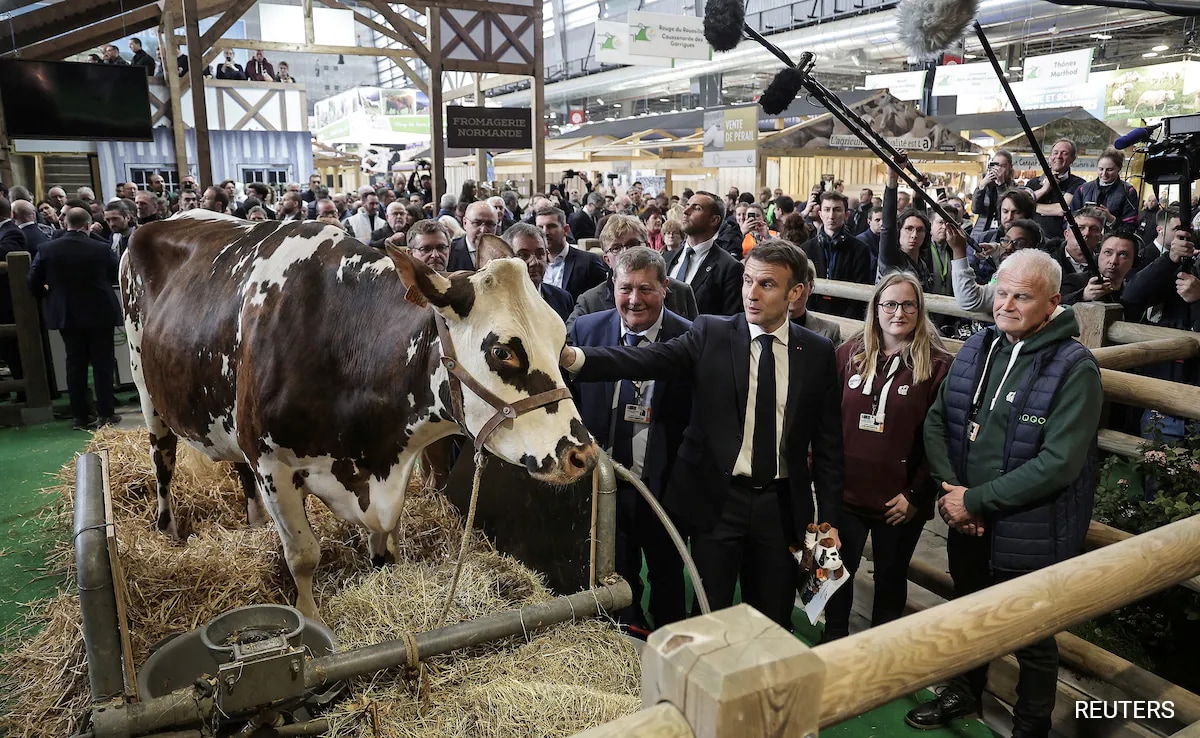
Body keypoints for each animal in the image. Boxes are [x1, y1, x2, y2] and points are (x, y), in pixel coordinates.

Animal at [119, 208, 597, 619]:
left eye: (561, 338)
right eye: (502, 351)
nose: (584, 456)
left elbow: (384, 544)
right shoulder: (273, 466)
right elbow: (303, 556)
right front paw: (311, 621)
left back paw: (252, 522)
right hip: (147, 390)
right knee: (162, 459)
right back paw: (167, 529)